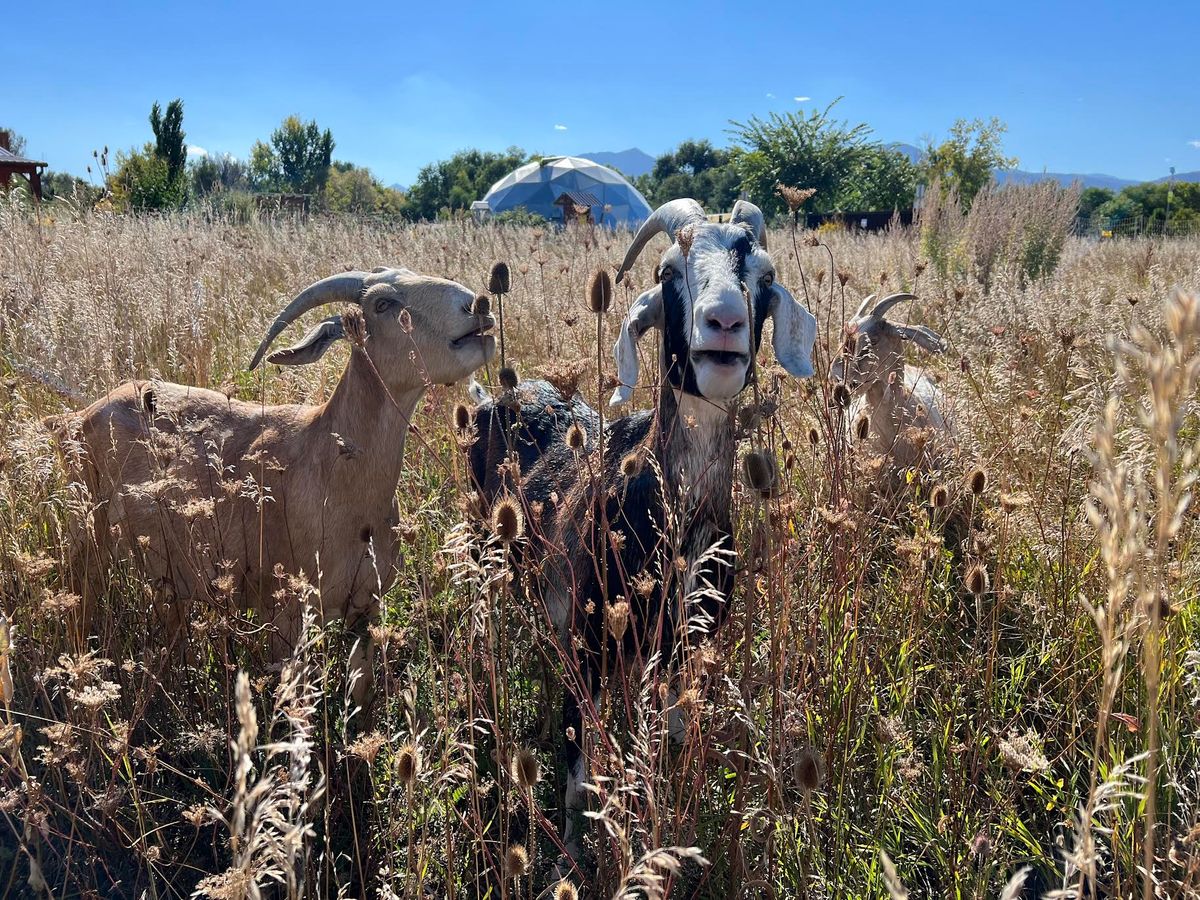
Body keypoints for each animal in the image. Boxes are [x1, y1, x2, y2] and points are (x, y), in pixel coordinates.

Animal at [45, 264, 496, 700]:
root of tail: (75, 418)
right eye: (383, 303)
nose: (478, 306)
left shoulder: (368, 609)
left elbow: (359, 695)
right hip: (87, 538)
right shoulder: (287, 613)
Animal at [472, 199, 820, 859]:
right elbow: (579, 764)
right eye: (667, 273)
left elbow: (673, 738)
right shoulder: (589, 641)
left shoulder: (686, 647)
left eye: (763, 276)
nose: (723, 324)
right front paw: (573, 855)